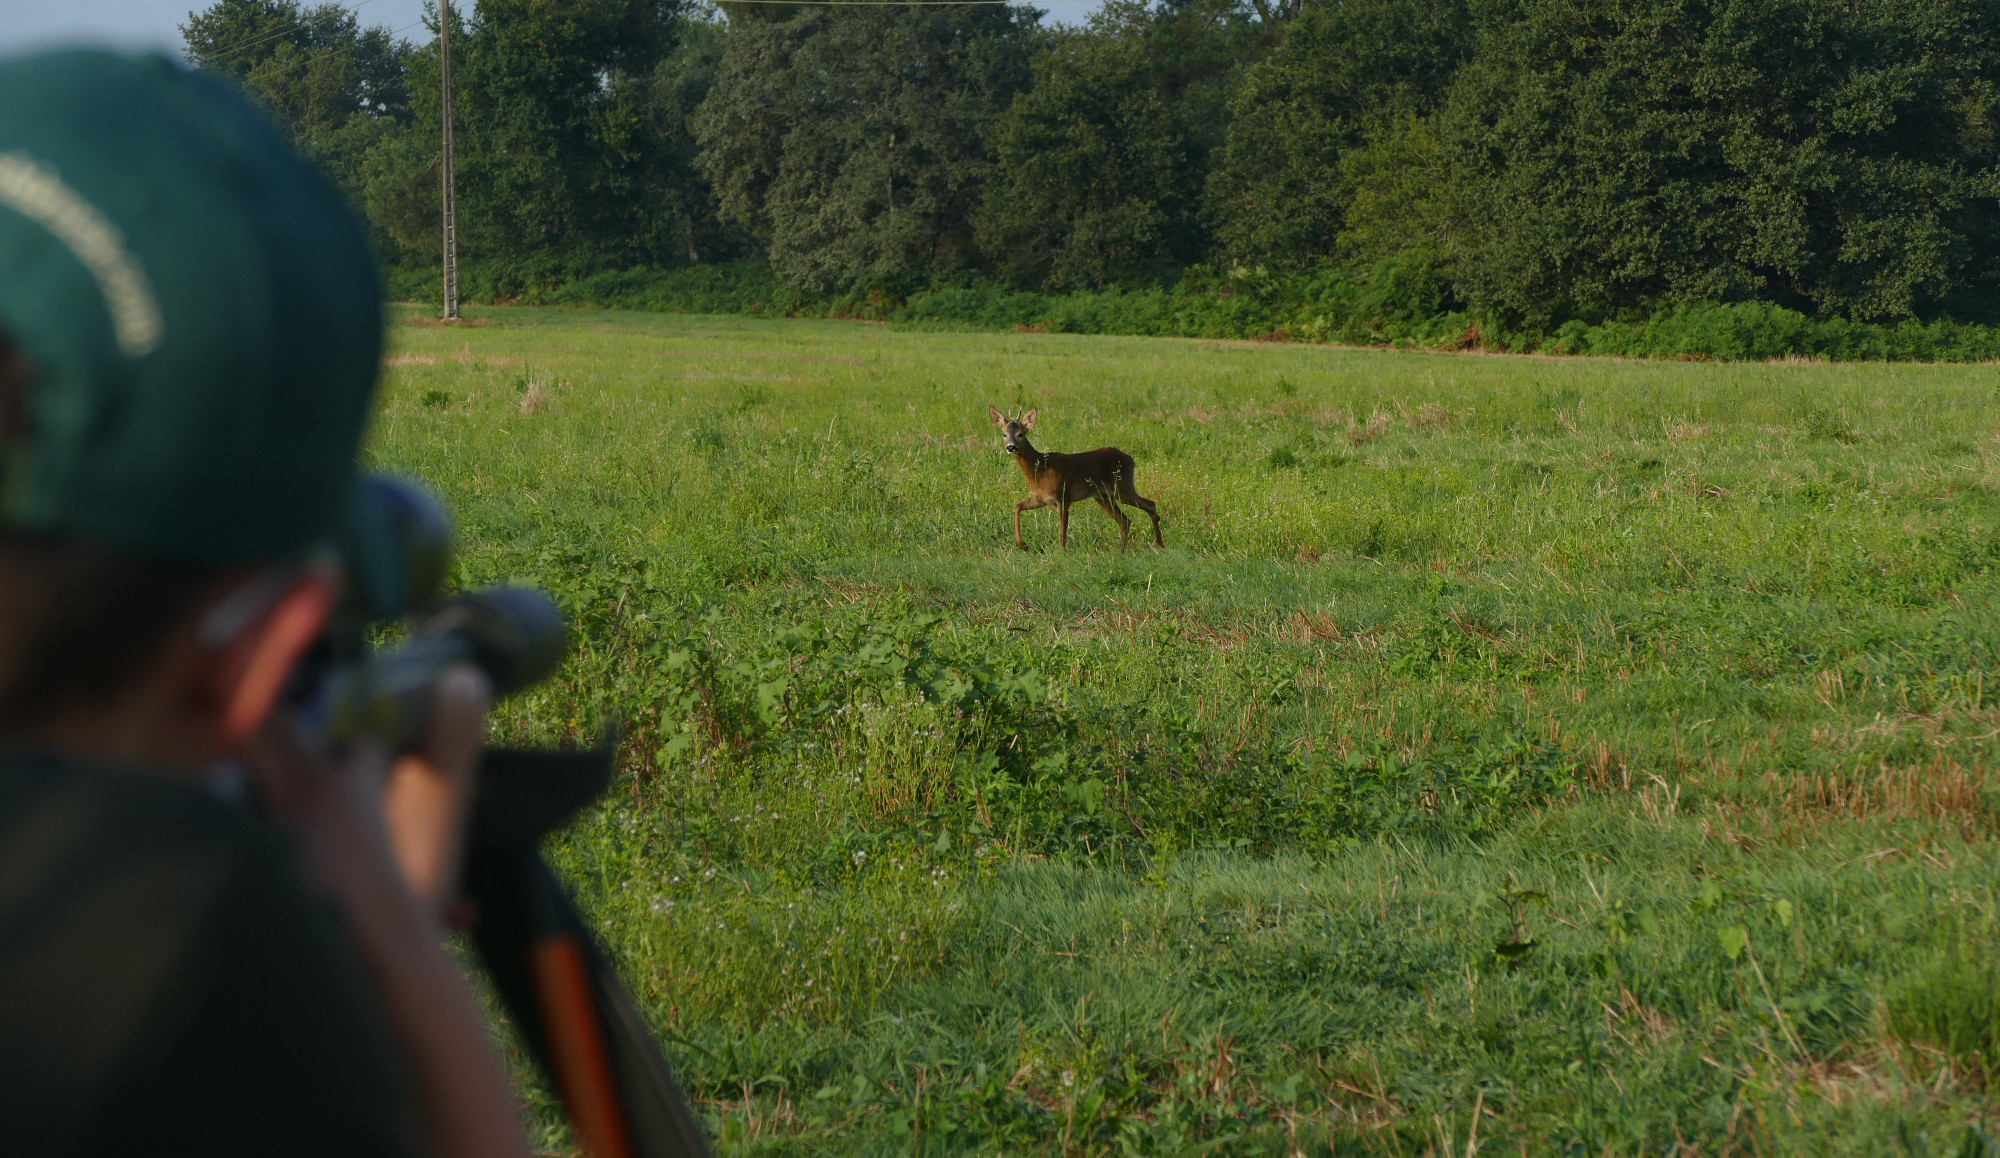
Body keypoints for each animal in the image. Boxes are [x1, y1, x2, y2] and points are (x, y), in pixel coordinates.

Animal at [984, 408, 1160, 552]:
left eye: (1021, 434)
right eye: (1004, 434)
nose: (1011, 447)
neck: (1040, 469)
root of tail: (1131, 460)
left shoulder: (1062, 497)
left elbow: (1062, 532)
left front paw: (1061, 553)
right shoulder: (1040, 498)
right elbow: (1017, 507)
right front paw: (1022, 545)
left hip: (1122, 487)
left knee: (1150, 504)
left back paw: (1160, 545)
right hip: (1102, 495)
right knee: (1125, 520)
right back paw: (1120, 551)